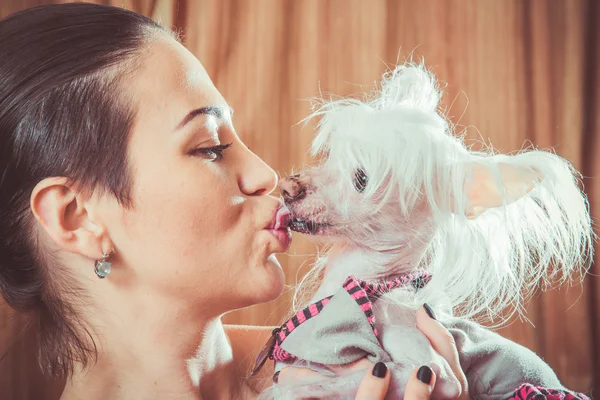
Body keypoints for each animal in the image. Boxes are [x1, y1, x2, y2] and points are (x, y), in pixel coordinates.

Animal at [255, 62, 592, 400]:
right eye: (331, 159)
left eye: (362, 179)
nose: (287, 187)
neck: (367, 281)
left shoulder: (431, 370)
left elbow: (334, 380)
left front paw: (288, 389)